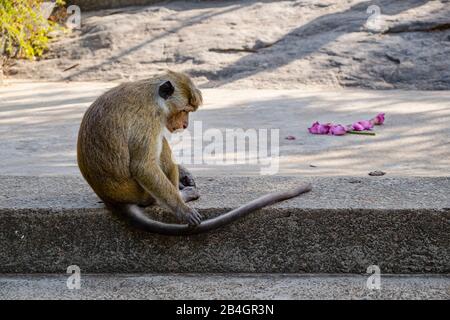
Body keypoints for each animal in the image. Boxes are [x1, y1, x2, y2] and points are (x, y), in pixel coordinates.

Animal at [77, 70, 312, 235]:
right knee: (161, 148)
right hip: (141, 193)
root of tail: (113, 200)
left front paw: (185, 174)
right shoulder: (148, 119)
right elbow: (143, 166)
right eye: (184, 110)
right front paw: (183, 210)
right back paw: (182, 196)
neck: (152, 96)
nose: (186, 124)